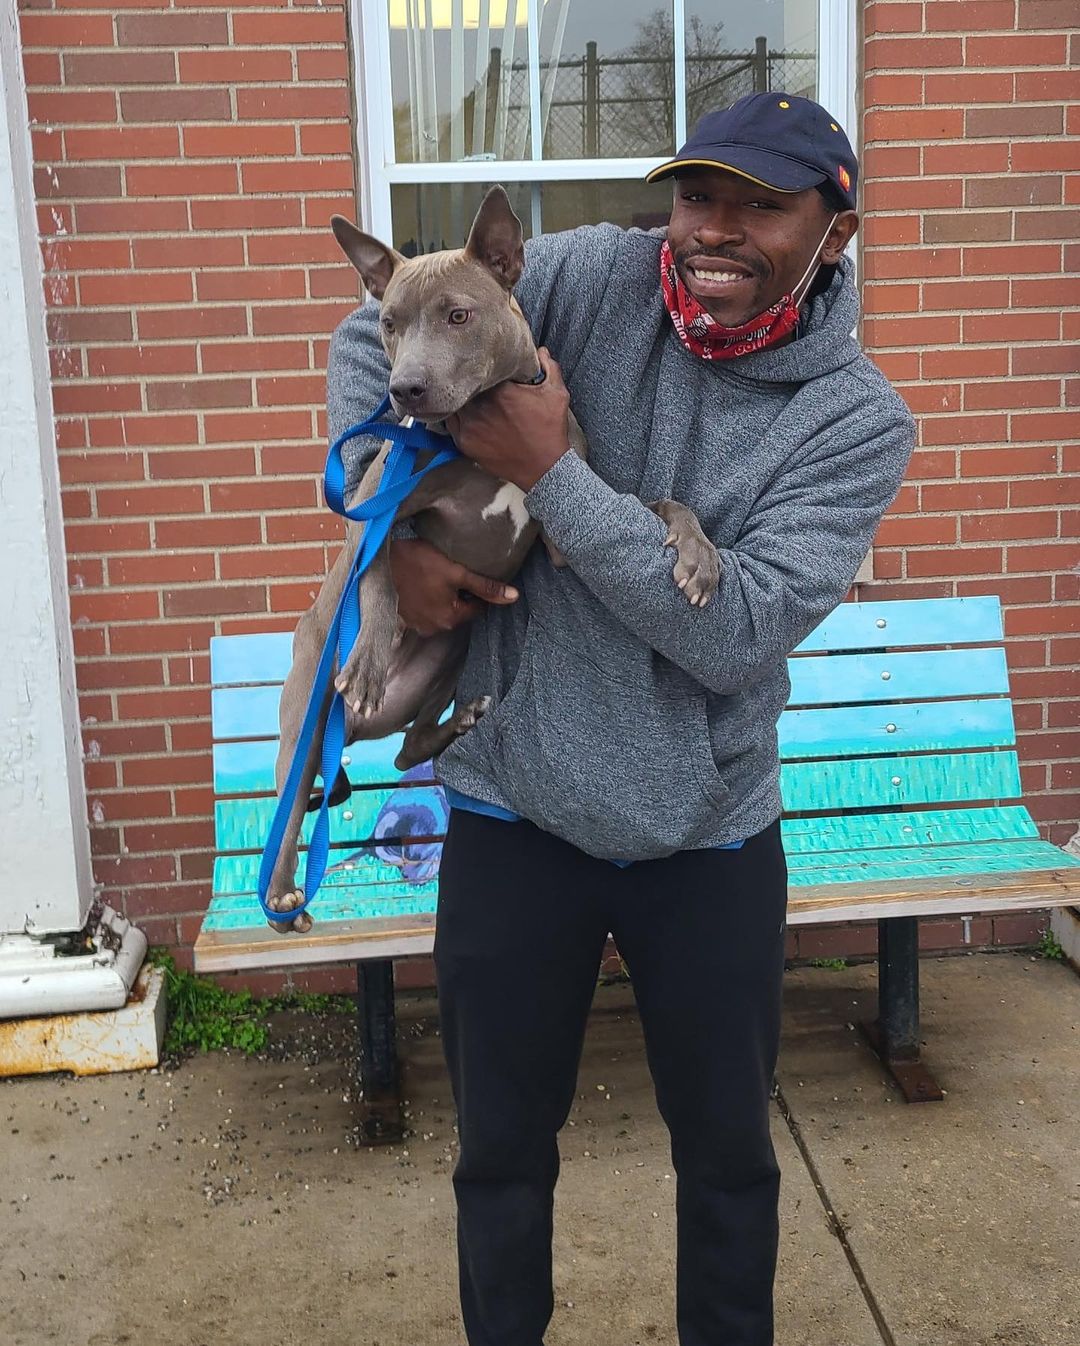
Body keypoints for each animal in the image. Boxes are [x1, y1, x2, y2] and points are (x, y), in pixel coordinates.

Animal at [262, 187, 716, 936]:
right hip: (305, 719)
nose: (404, 390)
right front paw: (368, 660)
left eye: (458, 315)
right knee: (291, 806)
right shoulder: (374, 511)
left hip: (449, 656)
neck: (471, 442)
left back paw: (462, 721)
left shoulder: (569, 522)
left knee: (408, 748)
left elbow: (663, 503)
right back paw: (281, 895)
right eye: (388, 323)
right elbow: (379, 575)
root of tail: (352, 728)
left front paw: (701, 559)